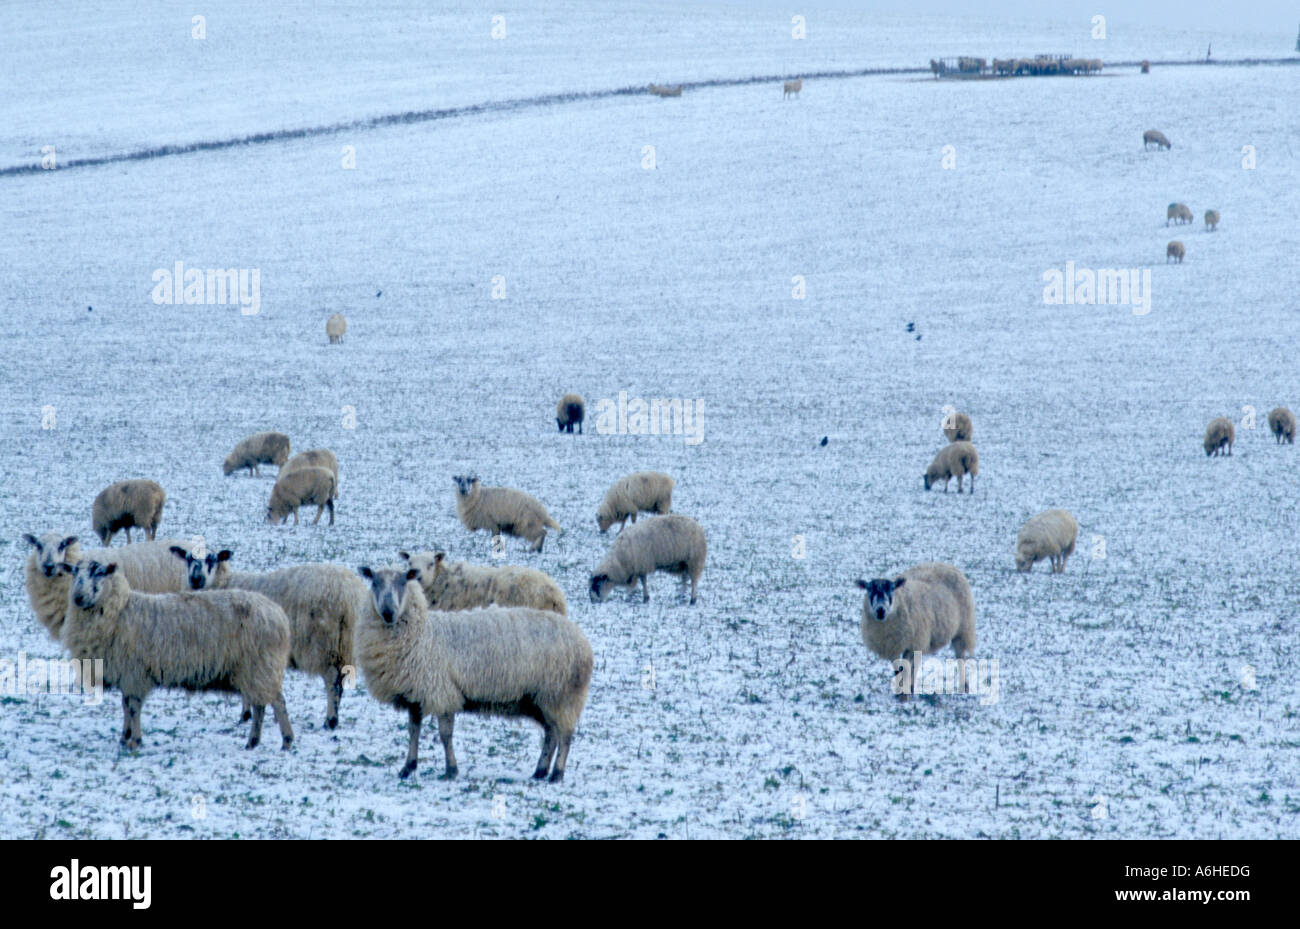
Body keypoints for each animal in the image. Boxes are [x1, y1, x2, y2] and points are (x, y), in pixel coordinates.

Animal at [59, 556, 292, 753]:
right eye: (74, 572)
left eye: (99, 572)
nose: (78, 597)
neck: (119, 612)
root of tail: (278, 614)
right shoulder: (127, 675)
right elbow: (125, 707)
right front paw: (125, 737)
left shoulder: (135, 674)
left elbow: (133, 708)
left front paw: (135, 741)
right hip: (256, 670)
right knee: (261, 706)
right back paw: (253, 742)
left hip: (261, 666)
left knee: (277, 702)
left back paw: (286, 740)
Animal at [170, 548, 369, 732]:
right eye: (188, 558)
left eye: (212, 559)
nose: (196, 579)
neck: (224, 583)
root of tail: (348, 595)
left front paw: (245, 715)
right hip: (344, 646)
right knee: (340, 681)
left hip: (323, 645)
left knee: (331, 681)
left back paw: (330, 720)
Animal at [351, 563, 595, 779]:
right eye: (374, 582)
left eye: (403, 581)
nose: (388, 612)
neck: (422, 634)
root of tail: (583, 640)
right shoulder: (415, 695)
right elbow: (413, 731)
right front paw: (408, 767)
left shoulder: (442, 693)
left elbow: (445, 735)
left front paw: (450, 770)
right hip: (541, 699)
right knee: (551, 734)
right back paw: (540, 771)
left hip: (562, 694)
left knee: (565, 735)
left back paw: (556, 774)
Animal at [852, 558, 977, 696]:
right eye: (869, 590)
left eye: (891, 589)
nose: (880, 610)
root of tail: (943, 564)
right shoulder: (893, 646)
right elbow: (898, 670)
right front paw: (901, 691)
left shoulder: (911, 644)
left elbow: (905, 669)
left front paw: (904, 694)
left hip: (962, 629)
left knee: (961, 657)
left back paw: (964, 686)